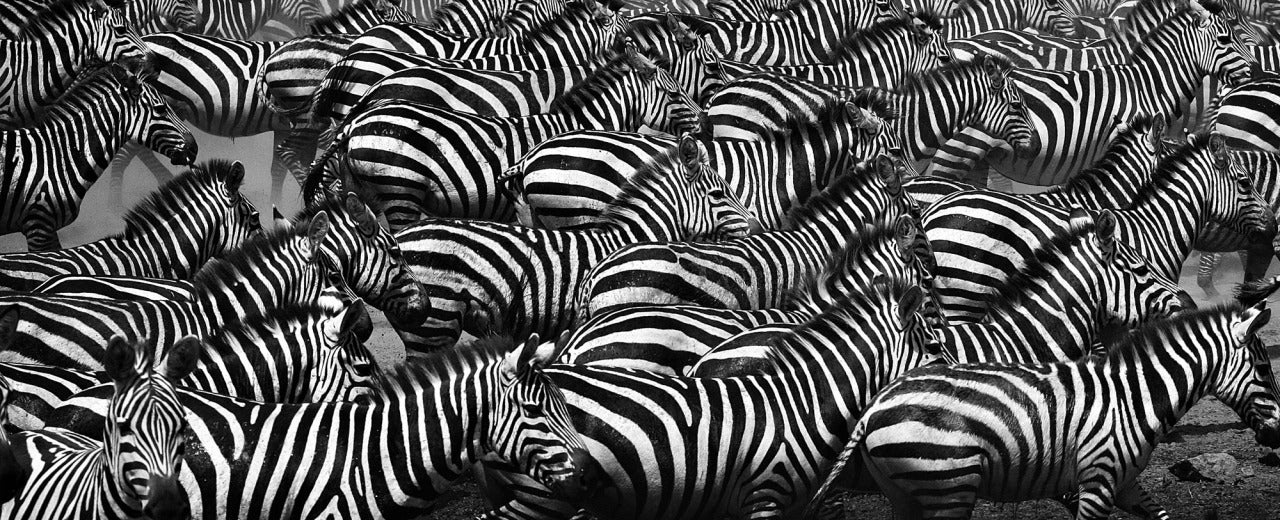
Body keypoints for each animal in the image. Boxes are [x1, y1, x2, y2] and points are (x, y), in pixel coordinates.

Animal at [809, 283, 1280, 519]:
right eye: (1264, 369)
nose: (1277, 435)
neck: (1134, 396)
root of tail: (877, 402)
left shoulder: (1126, 483)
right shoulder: (1097, 478)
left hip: (906, 492)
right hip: (948, 484)